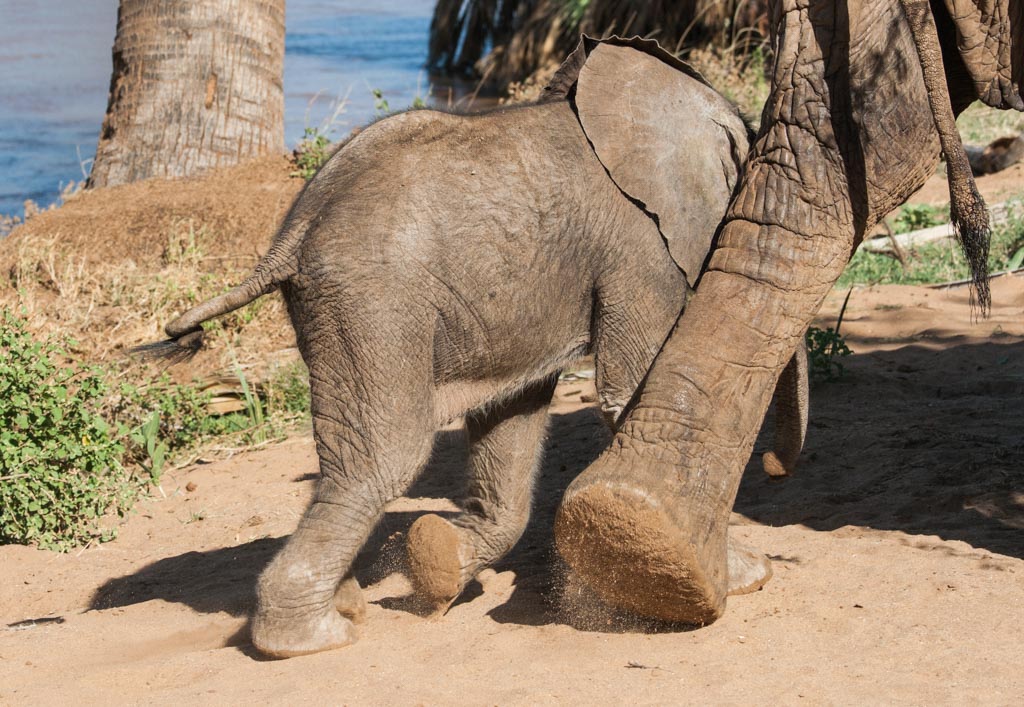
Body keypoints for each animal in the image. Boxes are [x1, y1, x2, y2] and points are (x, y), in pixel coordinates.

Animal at [142, 37, 806, 655]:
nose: (778, 469)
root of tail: (292, 234)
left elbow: (512, 417)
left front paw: (438, 565)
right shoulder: (641, 250)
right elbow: (630, 390)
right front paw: (745, 575)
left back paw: (349, 605)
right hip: (374, 304)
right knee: (384, 456)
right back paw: (316, 637)